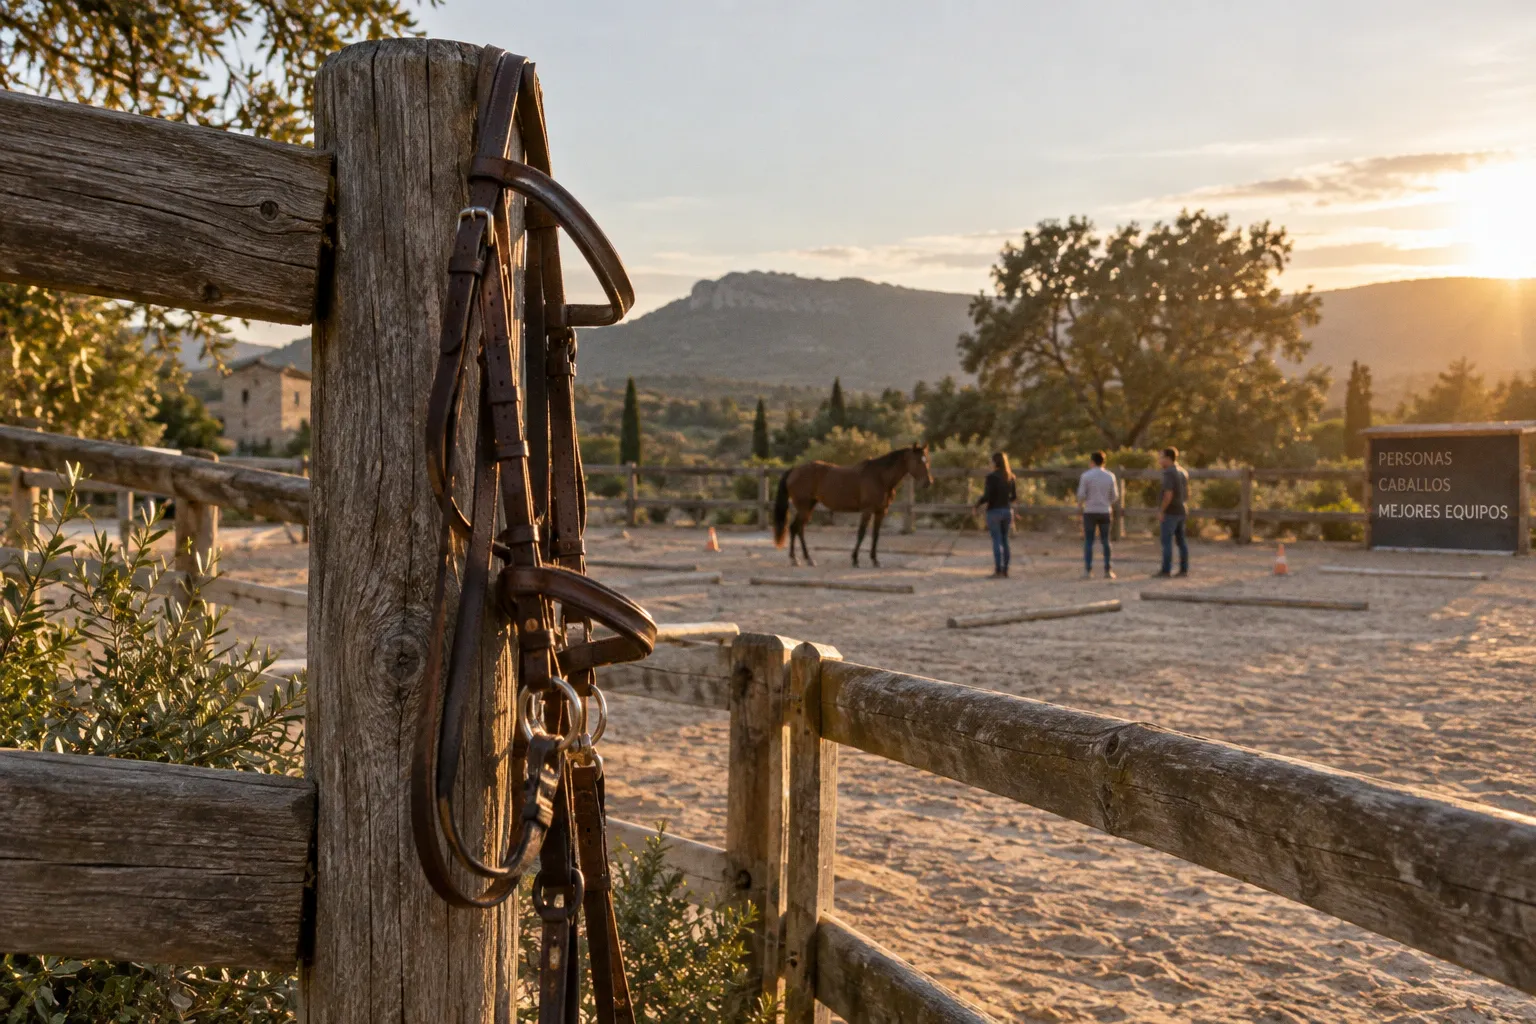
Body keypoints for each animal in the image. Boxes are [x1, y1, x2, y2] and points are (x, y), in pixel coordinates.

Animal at [772, 443, 933, 567]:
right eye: (919, 461)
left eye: (927, 461)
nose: (928, 483)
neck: (880, 477)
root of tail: (794, 470)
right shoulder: (867, 510)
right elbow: (861, 533)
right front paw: (855, 559)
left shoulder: (881, 511)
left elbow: (876, 535)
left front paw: (875, 560)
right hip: (804, 507)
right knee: (795, 528)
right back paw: (796, 559)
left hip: (809, 506)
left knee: (799, 529)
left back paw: (806, 559)